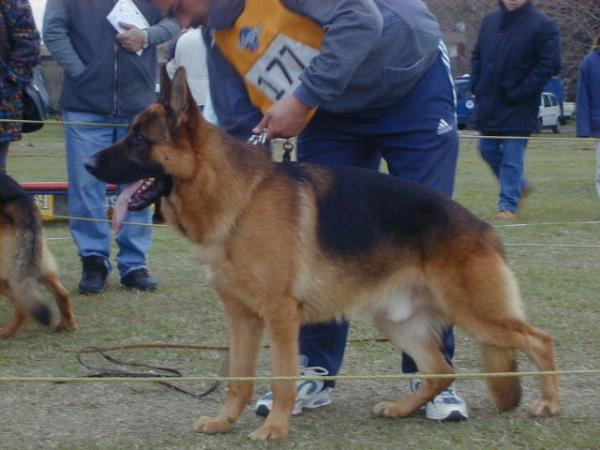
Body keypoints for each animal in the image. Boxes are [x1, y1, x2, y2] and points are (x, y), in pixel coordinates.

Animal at [0, 172, 76, 338]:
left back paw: (6, 332)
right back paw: (67, 325)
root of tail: (17, 196)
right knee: (62, 293)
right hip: (32, 263)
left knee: (23, 306)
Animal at [86, 69, 560, 440]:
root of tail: (483, 227)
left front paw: (275, 428)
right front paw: (225, 421)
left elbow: (281, 375)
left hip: (474, 311)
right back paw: (401, 409)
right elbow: (238, 377)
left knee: (539, 339)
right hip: (396, 320)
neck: (239, 199)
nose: (89, 165)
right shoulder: (241, 316)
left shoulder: (280, 315)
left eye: (139, 138)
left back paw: (549, 403)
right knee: (442, 369)